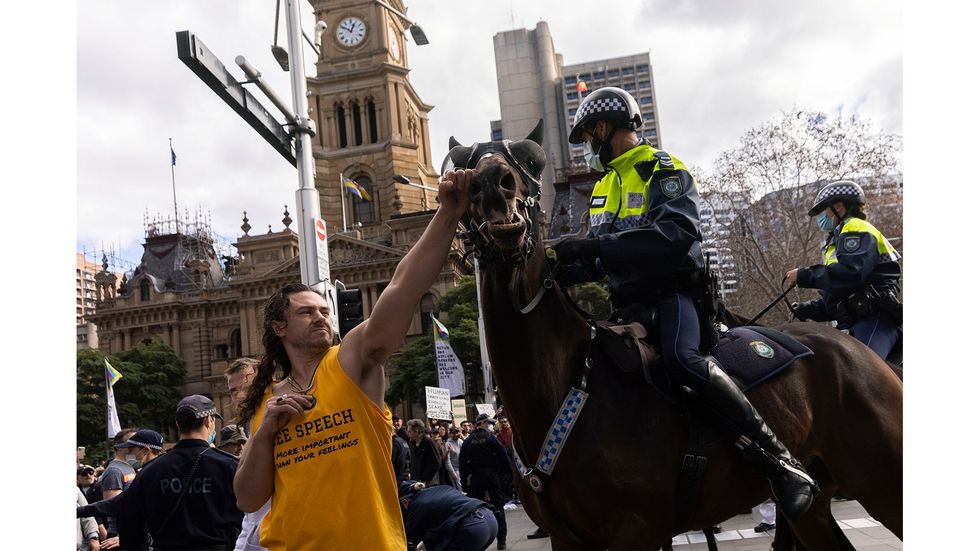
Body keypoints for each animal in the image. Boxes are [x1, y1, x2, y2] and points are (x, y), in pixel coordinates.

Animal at [446, 123, 904, 548]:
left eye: (531, 161)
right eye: (462, 167)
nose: (495, 185)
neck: (567, 385)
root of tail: (856, 347)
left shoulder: (636, 532)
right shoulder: (569, 539)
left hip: (883, 478)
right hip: (814, 509)